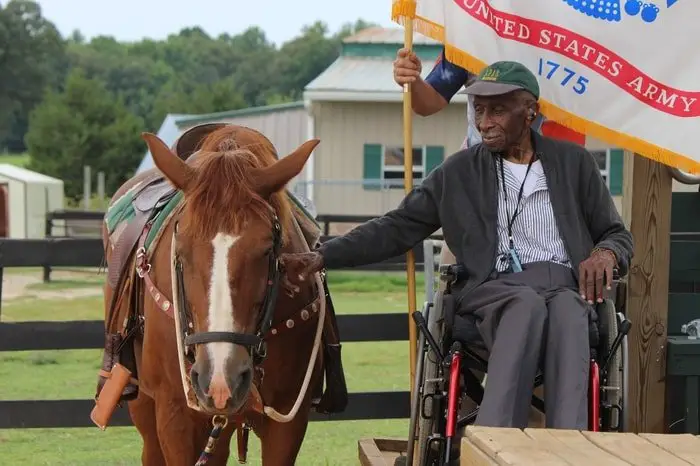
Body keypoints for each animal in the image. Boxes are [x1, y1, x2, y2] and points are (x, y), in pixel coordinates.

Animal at [104, 125, 328, 464]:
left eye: (267, 250)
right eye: (180, 251)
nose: (222, 379)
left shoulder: (289, 422)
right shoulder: (175, 416)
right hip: (144, 405)